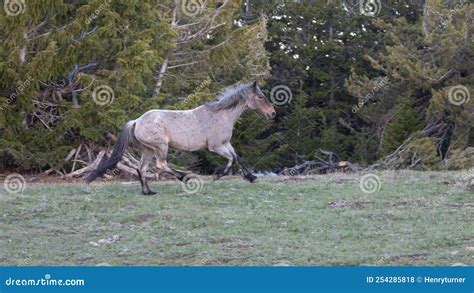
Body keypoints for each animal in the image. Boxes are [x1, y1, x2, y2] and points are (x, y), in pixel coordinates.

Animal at [87, 81, 276, 194]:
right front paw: (218, 175)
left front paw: (251, 177)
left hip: (148, 149)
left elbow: (237, 157)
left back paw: (148, 192)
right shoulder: (216, 146)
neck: (221, 115)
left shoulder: (225, 143)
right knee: (160, 164)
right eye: (260, 96)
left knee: (141, 168)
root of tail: (137, 121)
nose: (273, 113)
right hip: (161, 147)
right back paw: (184, 177)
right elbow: (231, 159)